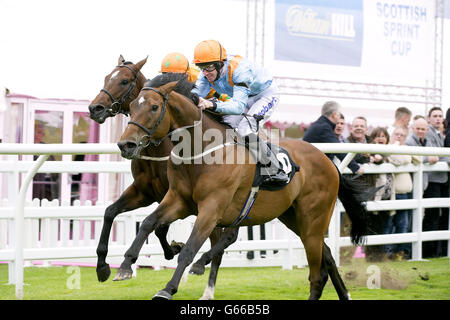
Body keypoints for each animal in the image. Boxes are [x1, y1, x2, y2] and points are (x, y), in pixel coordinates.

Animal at [88, 58, 225, 288]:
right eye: (107, 77)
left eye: (124, 81)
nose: (95, 108)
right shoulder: (144, 192)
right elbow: (110, 212)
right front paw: (102, 266)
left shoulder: (172, 195)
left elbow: (159, 228)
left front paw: (173, 249)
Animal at [116, 77, 372, 300]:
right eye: (132, 106)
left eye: (154, 107)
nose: (125, 144)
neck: (202, 151)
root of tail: (328, 161)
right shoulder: (179, 201)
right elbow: (148, 222)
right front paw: (125, 266)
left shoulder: (211, 208)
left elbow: (189, 249)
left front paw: (168, 289)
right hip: (293, 217)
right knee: (327, 256)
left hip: (313, 219)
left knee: (317, 275)